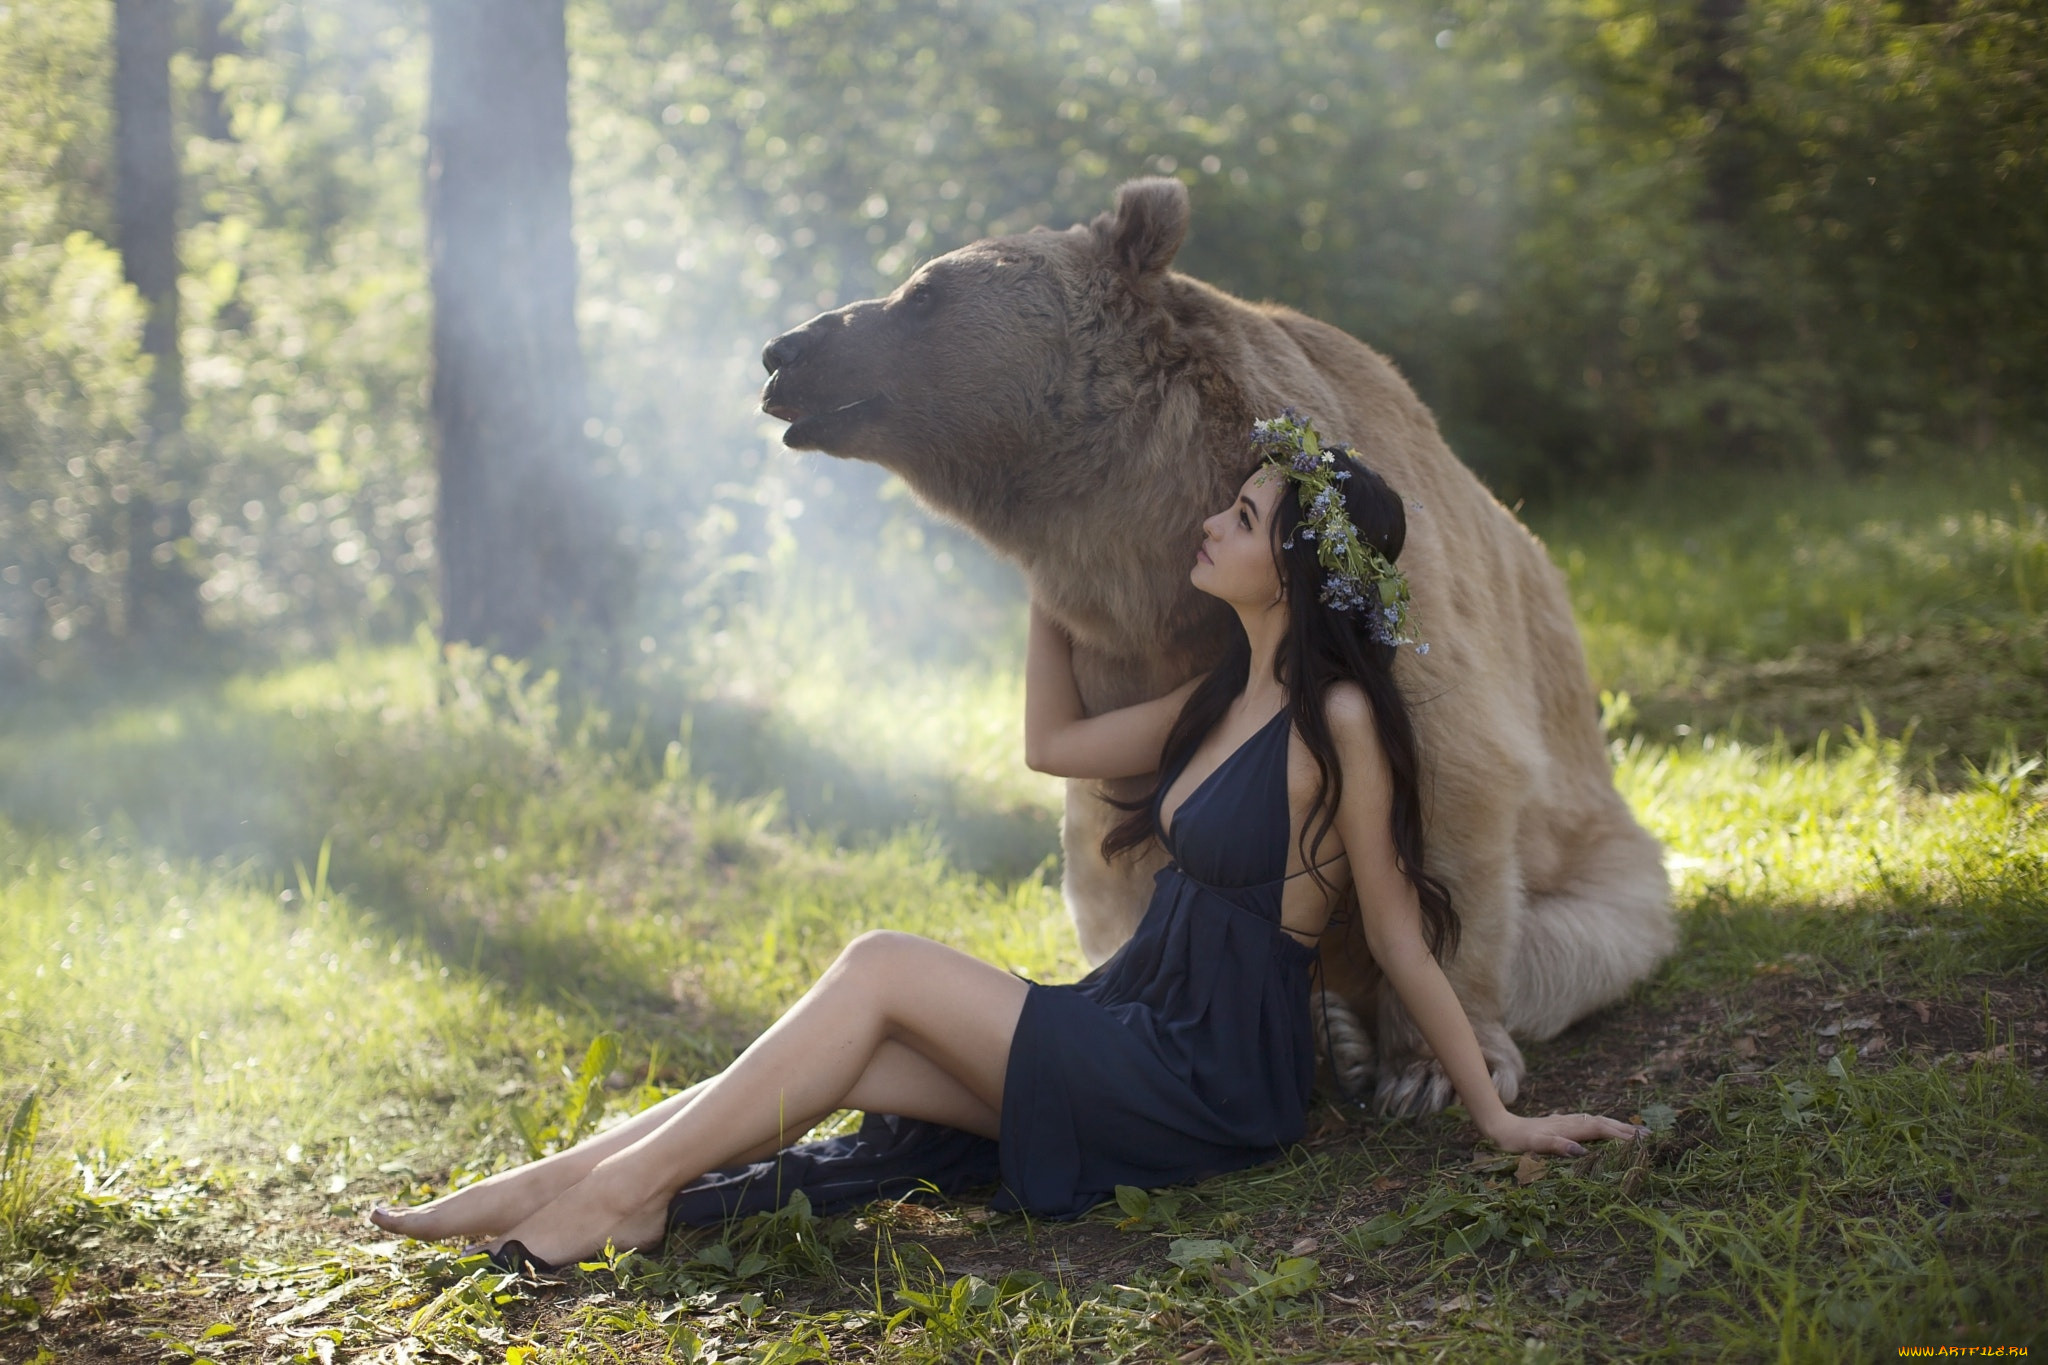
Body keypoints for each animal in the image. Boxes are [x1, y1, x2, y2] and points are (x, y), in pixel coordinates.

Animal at [761, 175, 1671, 1113]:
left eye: (922, 294)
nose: (781, 350)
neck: (1155, 542)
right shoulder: (1122, 667)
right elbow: (1117, 847)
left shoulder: (1401, 627)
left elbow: (1450, 792)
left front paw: (1427, 1068)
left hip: (1609, 865)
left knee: (1567, 944)